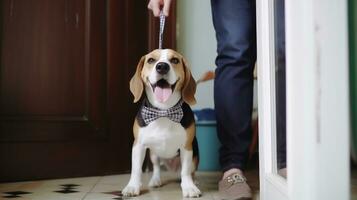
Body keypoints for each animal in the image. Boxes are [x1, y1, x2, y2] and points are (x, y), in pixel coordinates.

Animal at [121, 48, 200, 197]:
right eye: (151, 60)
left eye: (175, 60)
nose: (162, 66)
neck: (164, 110)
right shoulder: (138, 145)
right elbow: (136, 170)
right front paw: (132, 186)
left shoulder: (186, 147)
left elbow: (186, 171)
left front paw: (189, 187)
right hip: (153, 154)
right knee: (157, 166)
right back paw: (155, 180)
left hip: (195, 156)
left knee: (190, 171)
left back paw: (194, 181)